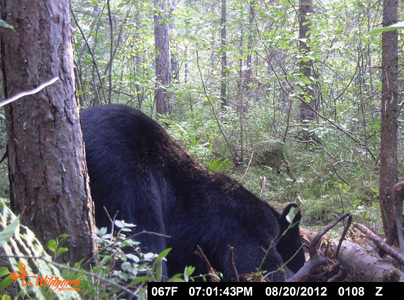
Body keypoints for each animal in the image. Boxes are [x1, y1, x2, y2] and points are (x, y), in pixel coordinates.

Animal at [80, 105, 304, 282]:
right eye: (300, 251)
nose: (302, 262)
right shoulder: (246, 225)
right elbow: (259, 265)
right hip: (123, 171)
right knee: (142, 238)